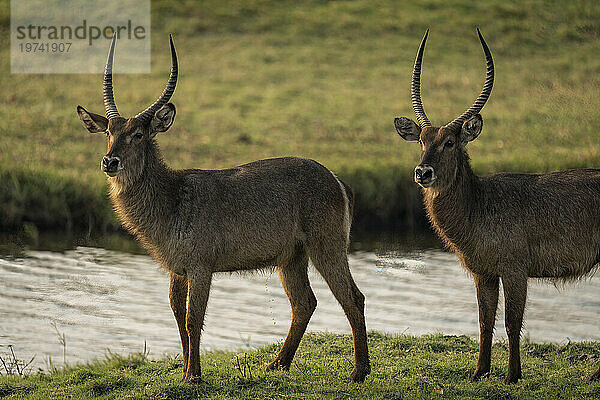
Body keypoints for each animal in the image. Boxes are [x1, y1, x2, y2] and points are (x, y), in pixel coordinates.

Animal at [75, 36, 370, 382]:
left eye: (137, 134)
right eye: (108, 131)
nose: (110, 162)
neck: (172, 199)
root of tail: (338, 180)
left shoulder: (201, 266)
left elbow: (193, 319)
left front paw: (193, 376)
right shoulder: (177, 268)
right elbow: (178, 317)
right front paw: (185, 372)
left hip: (327, 245)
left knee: (353, 297)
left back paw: (359, 371)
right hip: (291, 257)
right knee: (304, 303)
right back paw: (277, 364)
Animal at [394, 28, 600, 384]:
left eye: (450, 142)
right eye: (421, 140)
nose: (423, 172)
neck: (478, 206)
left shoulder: (515, 269)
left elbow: (512, 322)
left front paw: (512, 376)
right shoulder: (483, 272)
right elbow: (484, 320)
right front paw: (479, 372)